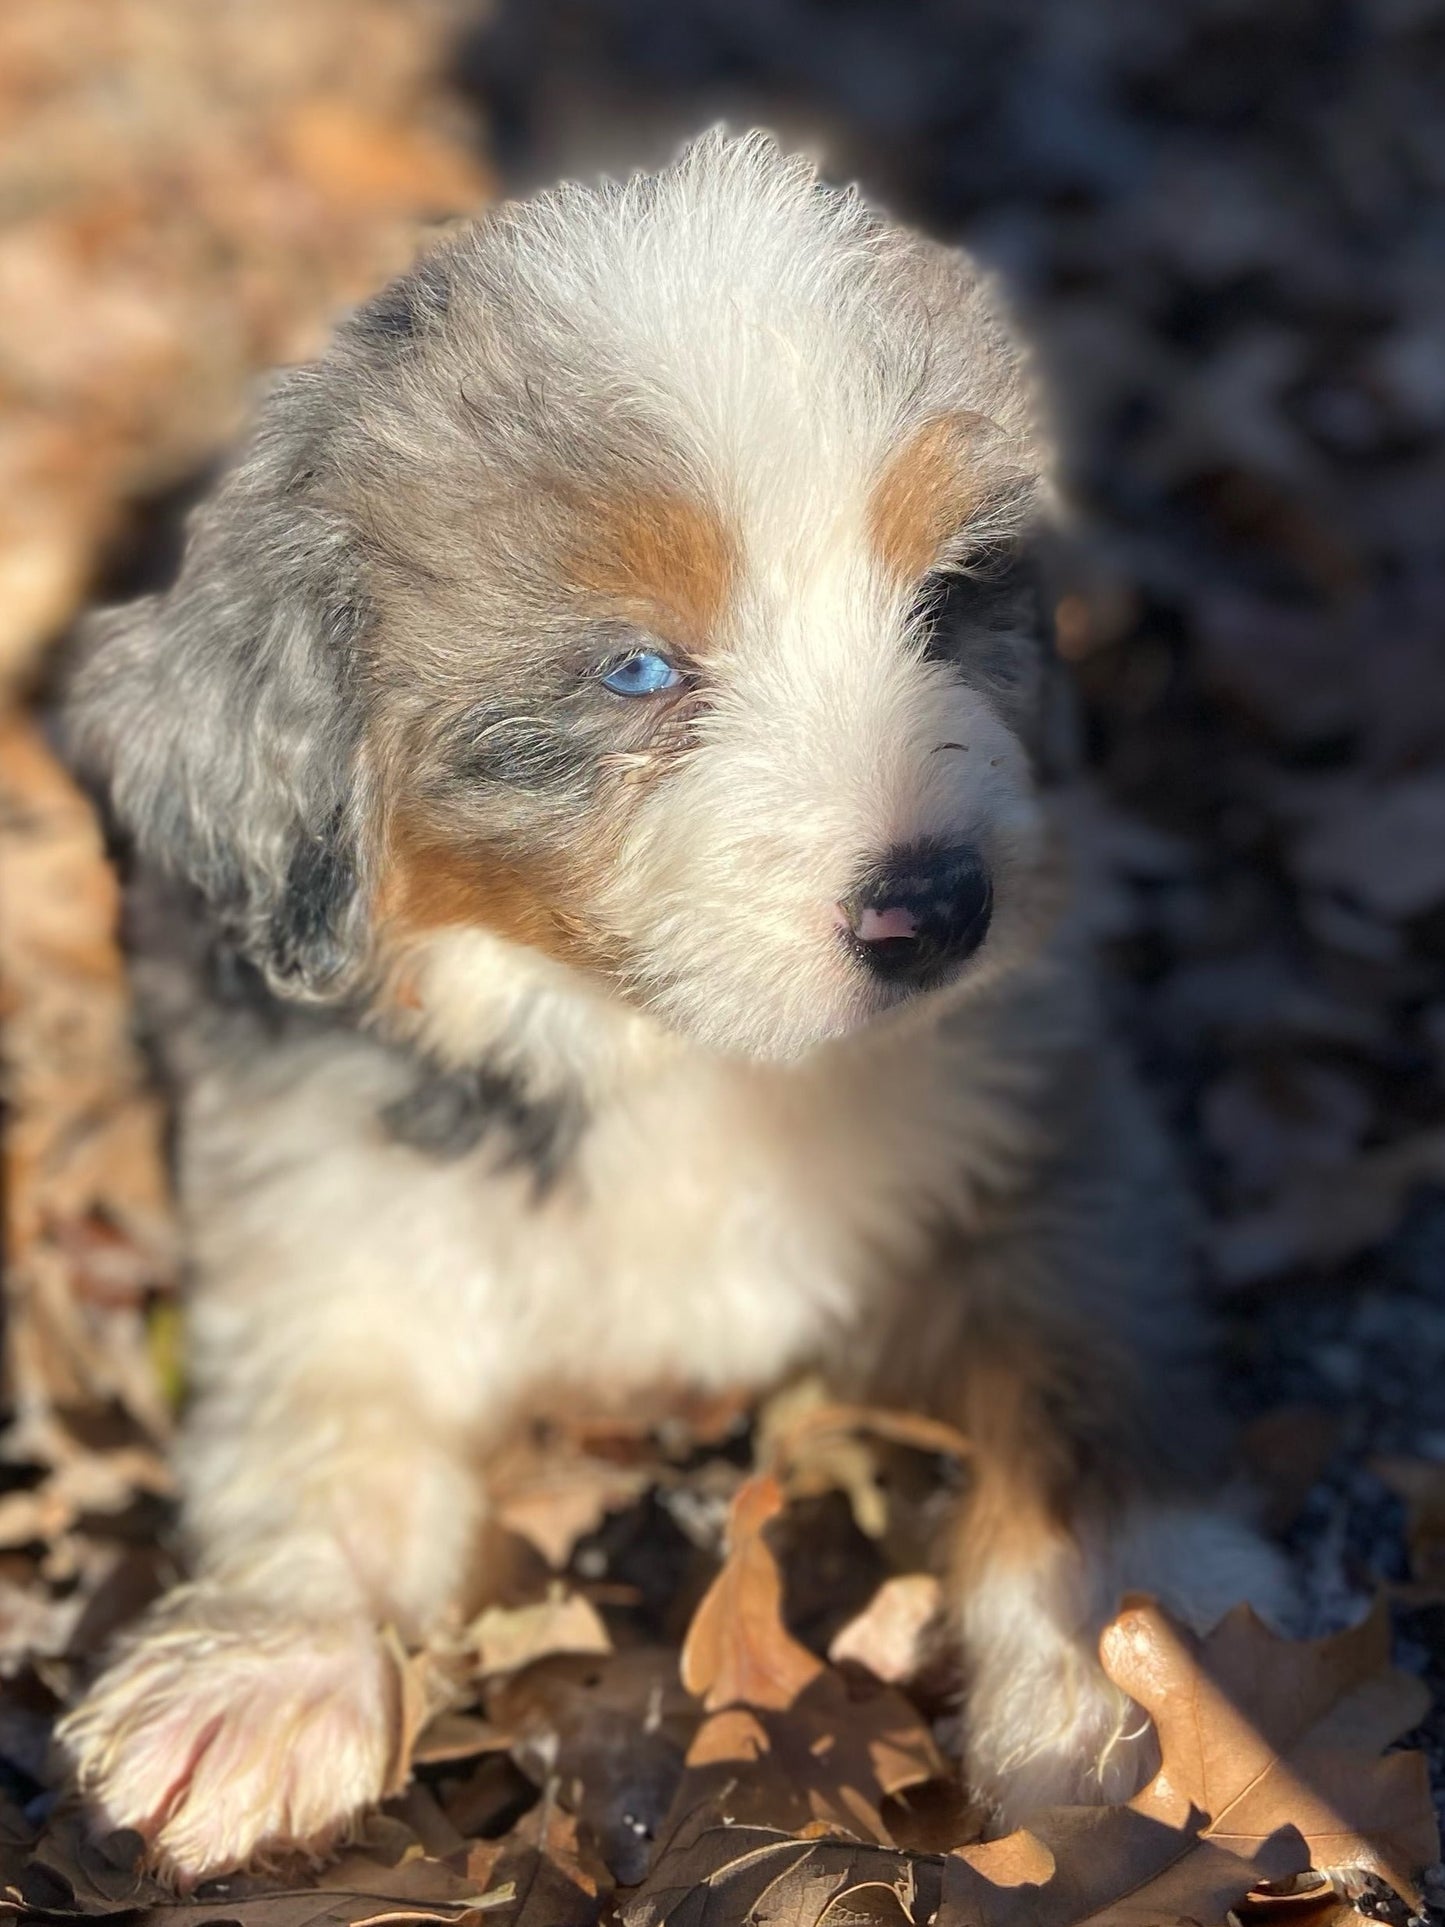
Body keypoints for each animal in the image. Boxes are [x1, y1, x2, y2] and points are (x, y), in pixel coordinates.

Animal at [53, 135, 1287, 1880]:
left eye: (944, 597)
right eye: (636, 672)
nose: (940, 908)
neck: (678, 1053)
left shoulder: (1043, 1123)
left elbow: (1085, 1359)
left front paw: (1146, 1664)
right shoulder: (326, 1196)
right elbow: (317, 1415)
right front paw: (262, 1662)